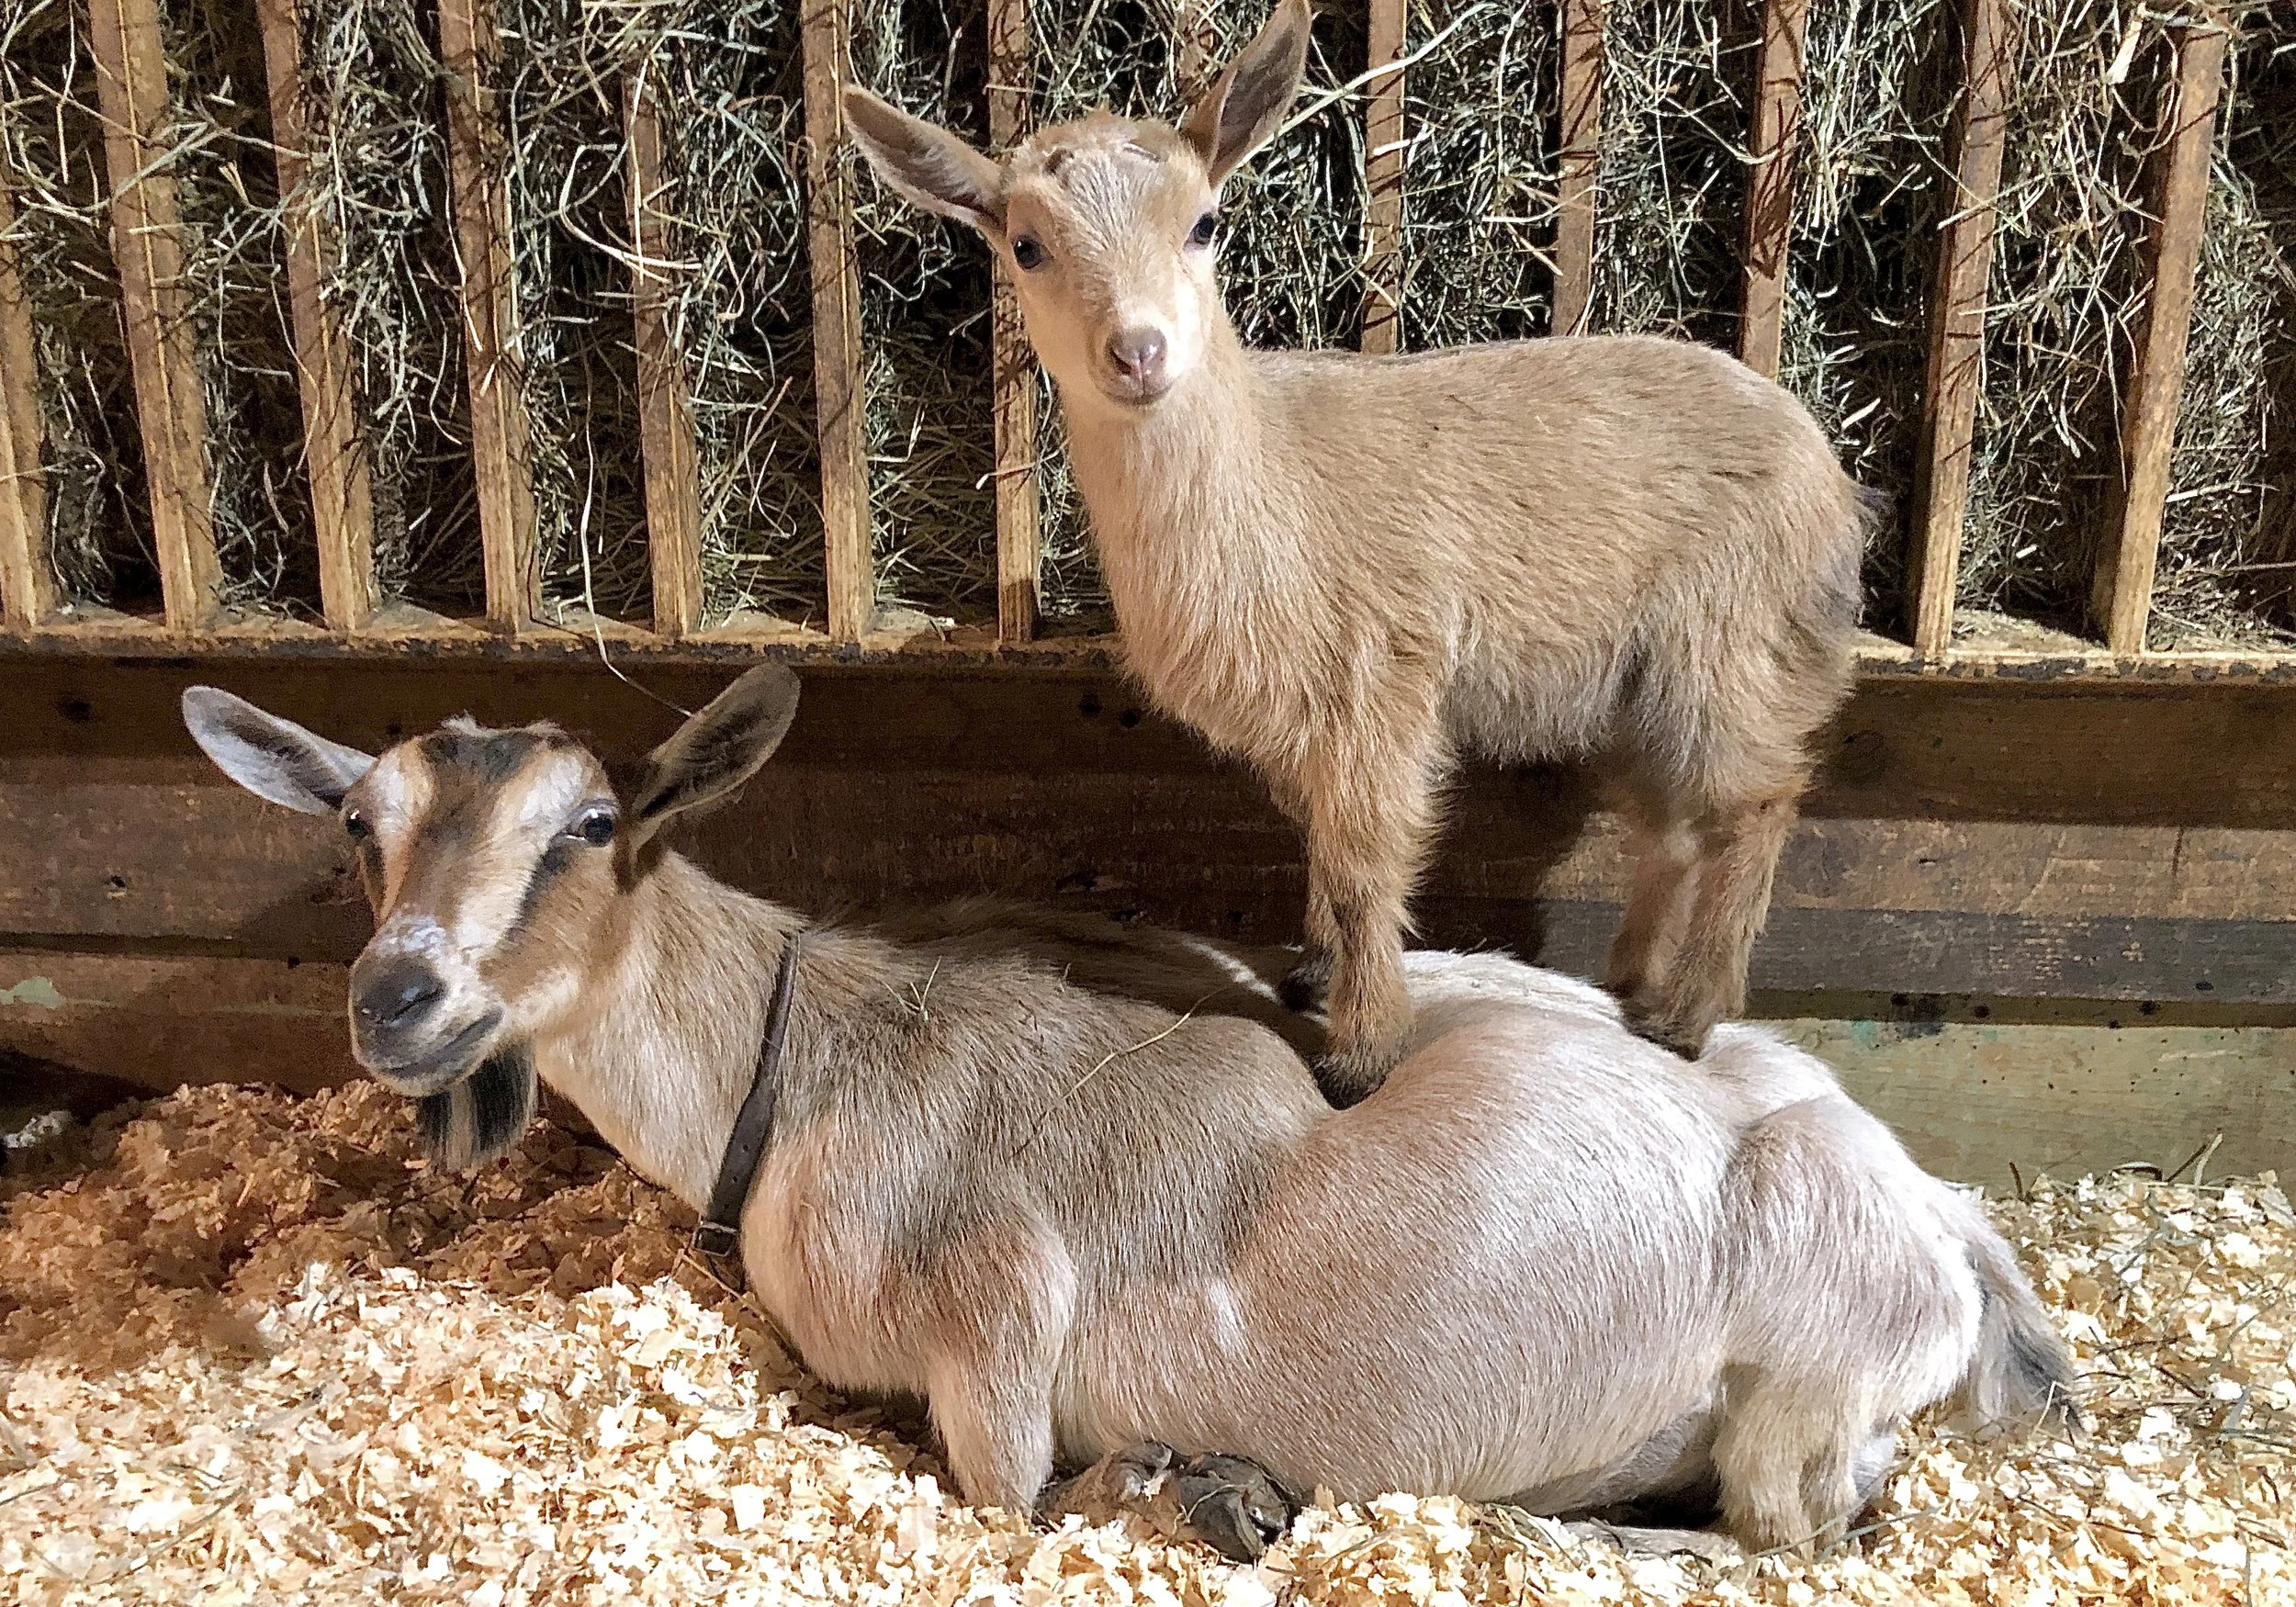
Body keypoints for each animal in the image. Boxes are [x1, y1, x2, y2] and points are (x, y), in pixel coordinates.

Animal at [182, 667, 2072, 1560]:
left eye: (588, 826)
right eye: (357, 823)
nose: (396, 998)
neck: (806, 1050)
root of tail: (1952, 1236)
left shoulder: (989, 1363)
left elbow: (1015, 1490)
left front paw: (1186, 1483)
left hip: (1796, 1414)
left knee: (1785, 1546)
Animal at [841, 0, 1870, 1102]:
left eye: (1204, 224)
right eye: (1026, 246)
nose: (1139, 352)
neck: (1268, 481)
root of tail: (1829, 474)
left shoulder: (1380, 685)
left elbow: (1368, 865)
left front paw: (1360, 1052)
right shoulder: (1304, 726)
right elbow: (1325, 857)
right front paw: (1314, 972)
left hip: (1733, 646)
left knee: (1753, 808)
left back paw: (1687, 1013)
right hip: (1643, 684)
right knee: (1667, 826)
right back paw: (1630, 978)